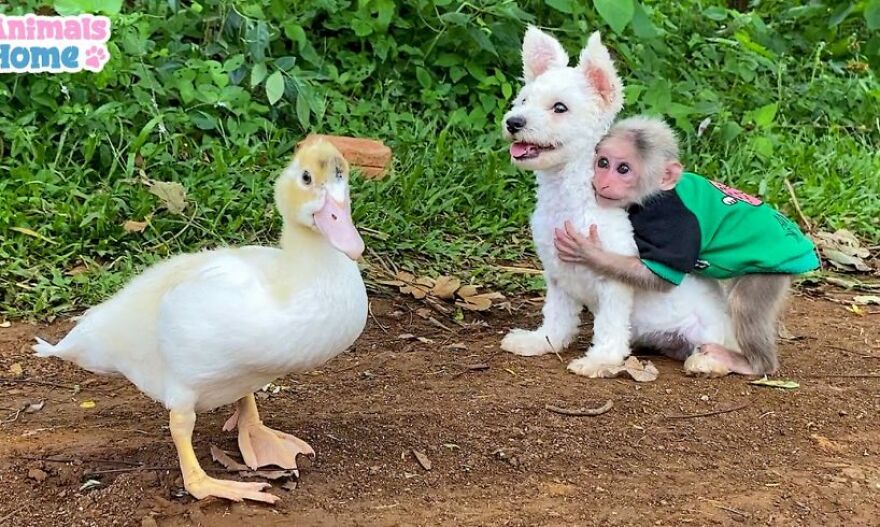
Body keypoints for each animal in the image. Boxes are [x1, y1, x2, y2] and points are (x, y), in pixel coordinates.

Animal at [553, 116, 820, 375]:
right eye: (603, 163)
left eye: (623, 169)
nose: (603, 182)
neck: (655, 194)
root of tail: (808, 251)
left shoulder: (672, 225)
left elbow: (658, 279)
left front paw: (589, 253)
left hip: (769, 276)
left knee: (743, 305)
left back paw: (754, 364)